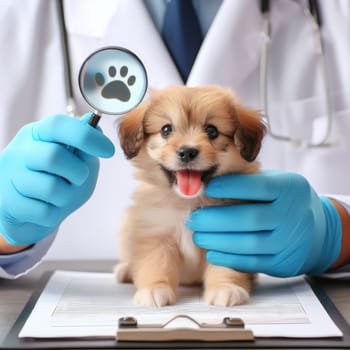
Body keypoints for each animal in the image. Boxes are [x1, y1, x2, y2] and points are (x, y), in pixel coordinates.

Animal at [115, 85, 266, 306]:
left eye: (212, 130)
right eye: (166, 130)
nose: (187, 152)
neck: (188, 203)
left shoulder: (228, 237)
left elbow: (225, 266)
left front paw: (226, 288)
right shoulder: (155, 233)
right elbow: (155, 263)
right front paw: (155, 288)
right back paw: (126, 270)